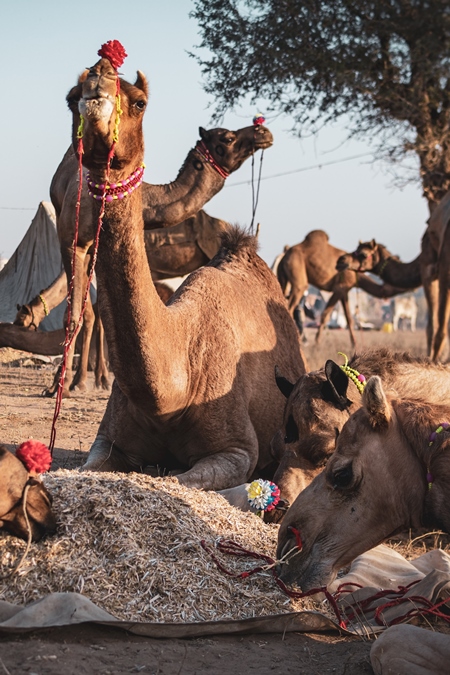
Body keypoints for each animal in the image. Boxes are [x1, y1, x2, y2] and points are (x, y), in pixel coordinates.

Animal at [65, 48, 304, 492]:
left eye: (140, 102)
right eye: (72, 98)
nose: (95, 93)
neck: (176, 388)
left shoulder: (236, 450)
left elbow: (181, 481)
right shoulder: (106, 440)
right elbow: (83, 467)